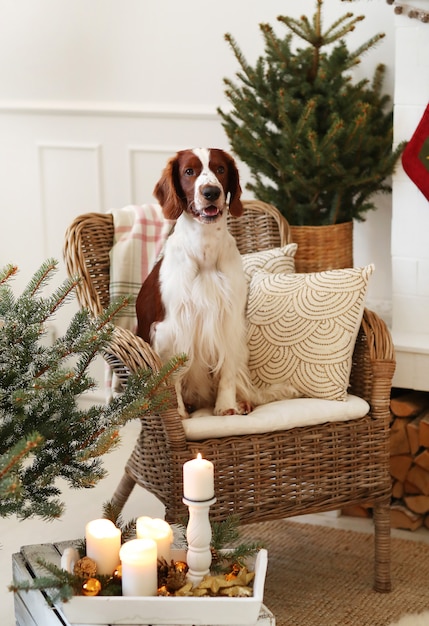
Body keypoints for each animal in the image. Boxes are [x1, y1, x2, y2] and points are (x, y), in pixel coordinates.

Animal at [136, 148, 298, 416]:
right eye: (189, 171)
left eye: (220, 169)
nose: (210, 192)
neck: (205, 249)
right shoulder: (170, 329)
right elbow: (173, 377)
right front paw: (179, 414)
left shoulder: (229, 321)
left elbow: (228, 372)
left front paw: (226, 407)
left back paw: (243, 402)